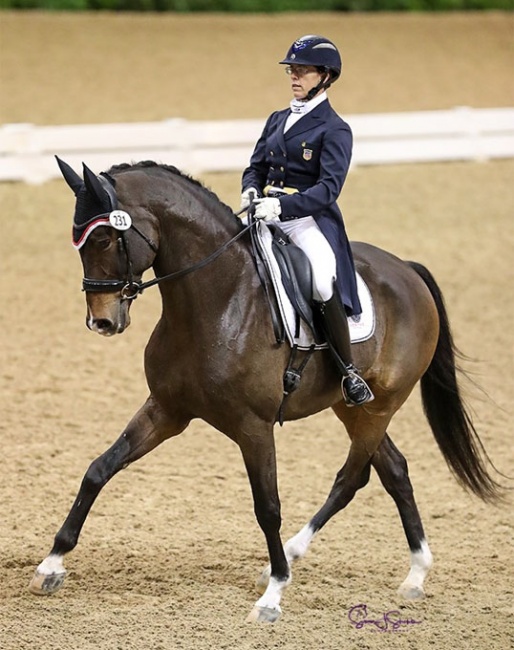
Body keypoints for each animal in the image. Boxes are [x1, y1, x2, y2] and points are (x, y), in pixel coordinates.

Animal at [28, 158, 500, 624]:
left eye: (104, 237)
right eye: (79, 241)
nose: (102, 322)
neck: (217, 302)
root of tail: (407, 270)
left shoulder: (253, 427)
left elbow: (267, 507)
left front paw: (274, 594)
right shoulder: (166, 410)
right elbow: (99, 469)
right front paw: (51, 565)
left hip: (380, 406)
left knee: (353, 477)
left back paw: (302, 557)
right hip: (352, 408)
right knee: (394, 470)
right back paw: (414, 573)